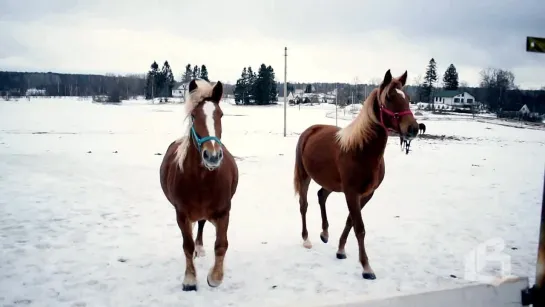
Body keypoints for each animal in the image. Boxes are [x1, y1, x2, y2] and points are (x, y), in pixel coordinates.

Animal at [160, 79, 239, 292]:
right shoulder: (181, 214)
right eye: (194, 116)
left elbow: (221, 244)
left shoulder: (224, 212)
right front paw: (189, 279)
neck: (202, 180)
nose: (212, 156)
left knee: (202, 223)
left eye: (220, 114)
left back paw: (201, 247)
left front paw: (215, 277)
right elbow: (187, 246)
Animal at [294, 70, 416, 282]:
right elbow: (359, 227)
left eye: (408, 98)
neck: (361, 150)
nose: (413, 128)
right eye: (389, 98)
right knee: (304, 205)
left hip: (332, 183)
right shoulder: (351, 193)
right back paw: (306, 239)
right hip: (305, 177)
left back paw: (325, 233)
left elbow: (350, 221)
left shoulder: (366, 194)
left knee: (321, 195)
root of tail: (310, 130)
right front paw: (366, 268)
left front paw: (341, 250)